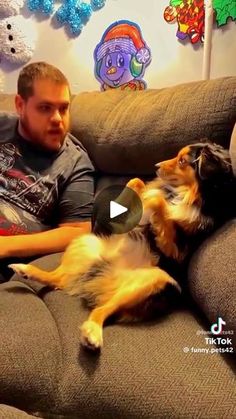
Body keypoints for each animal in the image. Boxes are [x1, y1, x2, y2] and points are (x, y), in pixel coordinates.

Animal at [8, 141, 235, 352]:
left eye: (182, 161)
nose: (156, 166)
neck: (186, 193)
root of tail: (103, 275)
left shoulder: (177, 250)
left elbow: (159, 203)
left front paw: (150, 201)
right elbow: (137, 182)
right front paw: (130, 201)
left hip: (153, 280)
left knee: (102, 309)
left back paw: (92, 334)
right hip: (85, 242)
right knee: (59, 278)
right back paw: (26, 270)